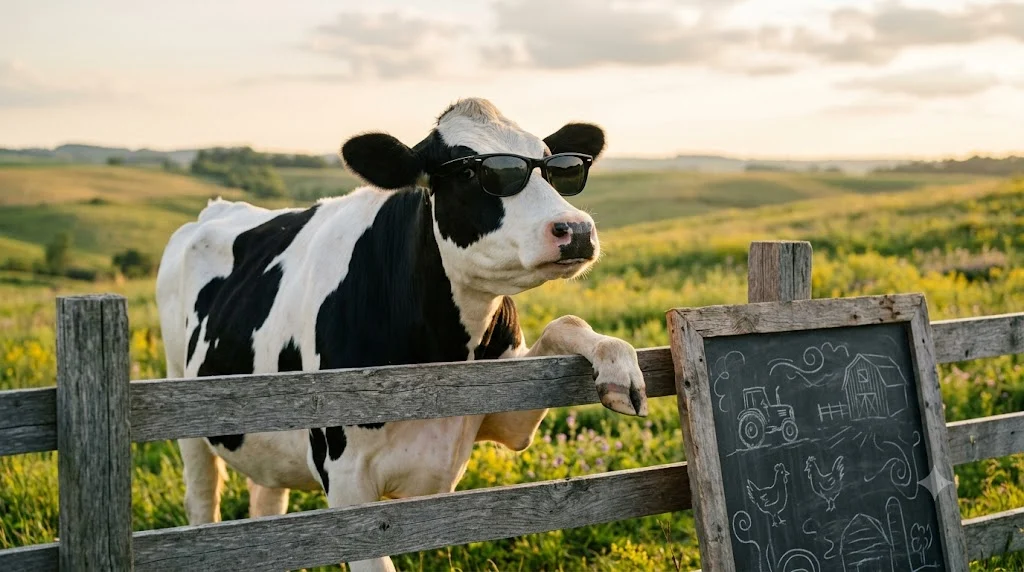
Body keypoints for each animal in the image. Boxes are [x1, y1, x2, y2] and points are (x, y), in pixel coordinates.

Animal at [155, 97, 648, 572]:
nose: (577, 229)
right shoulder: (347, 484)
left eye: (558, 166)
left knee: (267, 503)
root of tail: (217, 208)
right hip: (186, 405)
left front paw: (619, 367)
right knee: (202, 505)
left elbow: (566, 323)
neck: (444, 354)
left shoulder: (509, 412)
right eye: (474, 172)